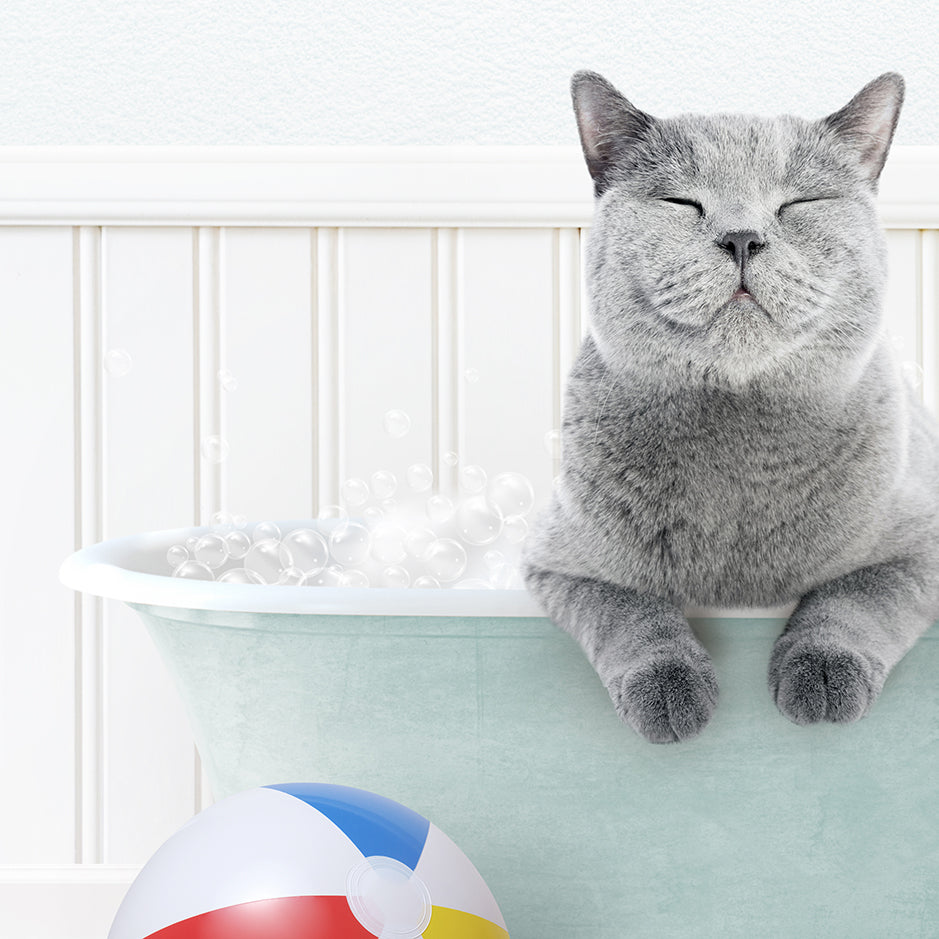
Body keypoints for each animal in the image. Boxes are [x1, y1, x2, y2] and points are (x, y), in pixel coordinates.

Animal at [520, 70, 939, 744]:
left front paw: (823, 676)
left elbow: (855, 596)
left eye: (798, 204)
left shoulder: (922, 543)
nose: (743, 238)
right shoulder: (561, 561)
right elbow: (629, 609)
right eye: (681, 203)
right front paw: (670, 690)